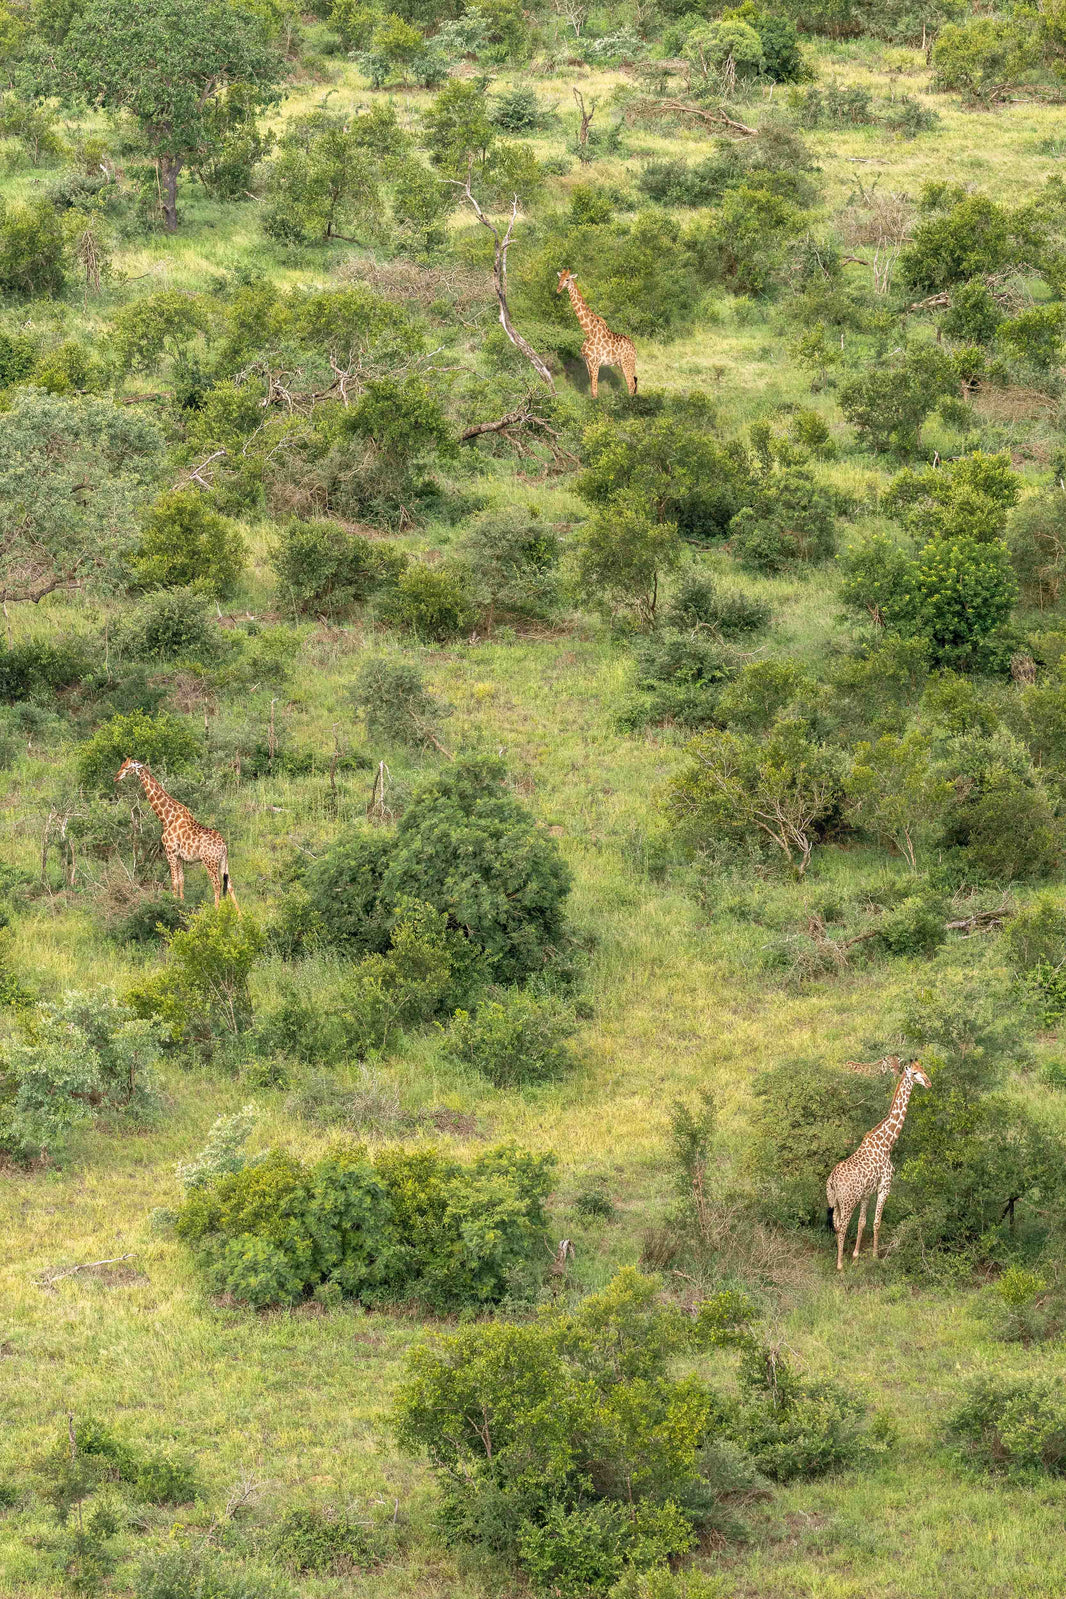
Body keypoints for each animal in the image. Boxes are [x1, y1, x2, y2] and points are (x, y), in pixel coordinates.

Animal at [115, 758, 240, 914]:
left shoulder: (171, 853)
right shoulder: (179, 856)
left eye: (126, 768)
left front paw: (172, 906)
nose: (116, 778)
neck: (166, 818)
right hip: (223, 861)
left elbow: (173, 881)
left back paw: (216, 912)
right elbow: (181, 880)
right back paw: (240, 915)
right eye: (121, 766)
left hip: (209, 861)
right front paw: (181, 904)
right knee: (229, 884)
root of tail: (224, 846)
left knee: (216, 884)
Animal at [556, 269, 637, 399]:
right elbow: (592, 389)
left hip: (627, 362)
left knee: (631, 384)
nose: (558, 289)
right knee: (633, 382)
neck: (588, 331)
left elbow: (595, 391)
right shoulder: (588, 362)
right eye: (560, 278)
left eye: (567, 279)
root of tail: (634, 348)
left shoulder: (595, 362)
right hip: (622, 363)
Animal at [826, 1059, 931, 1270]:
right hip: (848, 1201)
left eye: (924, 1069)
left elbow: (862, 1222)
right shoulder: (885, 1186)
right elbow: (876, 1222)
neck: (887, 1142)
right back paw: (840, 1266)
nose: (929, 1083)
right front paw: (875, 1256)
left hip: (835, 1202)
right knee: (842, 1227)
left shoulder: (867, 1192)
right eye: (915, 1073)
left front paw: (856, 1255)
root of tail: (831, 1181)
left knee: (837, 1224)